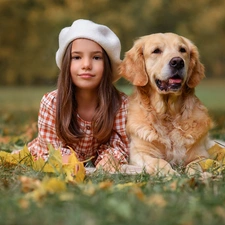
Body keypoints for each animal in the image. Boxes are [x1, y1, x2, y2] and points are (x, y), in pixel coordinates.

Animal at [119, 32, 213, 176]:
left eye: (182, 50)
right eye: (156, 51)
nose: (178, 62)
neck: (168, 113)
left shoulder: (201, 154)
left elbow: (195, 164)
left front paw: (196, 174)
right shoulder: (141, 153)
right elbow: (160, 162)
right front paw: (173, 174)